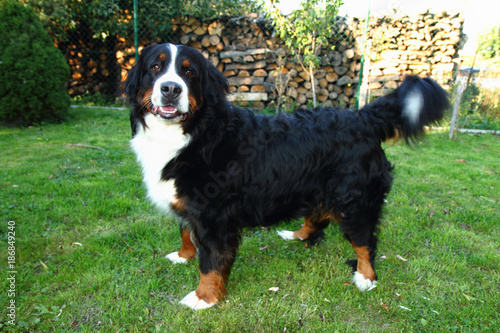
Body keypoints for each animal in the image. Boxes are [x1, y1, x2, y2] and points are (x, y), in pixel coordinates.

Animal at [124, 42, 450, 310]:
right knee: (317, 218)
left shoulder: (213, 216)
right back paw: (296, 235)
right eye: (155, 67)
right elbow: (185, 231)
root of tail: (362, 117)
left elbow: (211, 262)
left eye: (189, 72)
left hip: (353, 199)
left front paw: (203, 297)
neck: (194, 132)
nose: (171, 88)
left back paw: (365, 277)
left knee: (364, 240)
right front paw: (183, 255)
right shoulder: (188, 204)